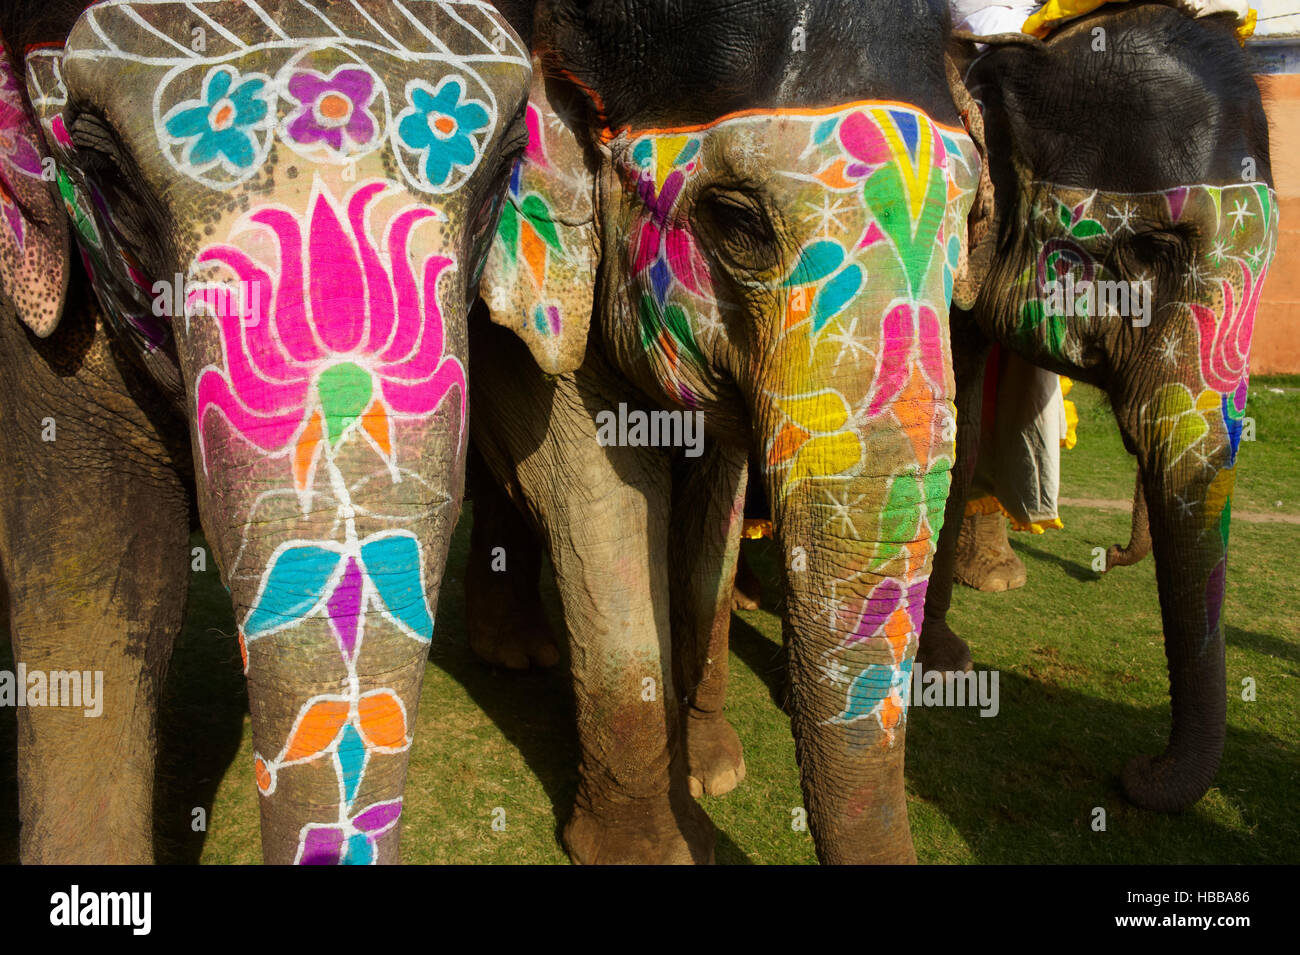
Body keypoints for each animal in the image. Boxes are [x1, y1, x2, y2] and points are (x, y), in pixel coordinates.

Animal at [462, 0, 977, 867]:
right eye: (737, 222)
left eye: (969, 220)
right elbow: (599, 499)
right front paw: (653, 847)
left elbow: (720, 509)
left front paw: (713, 772)